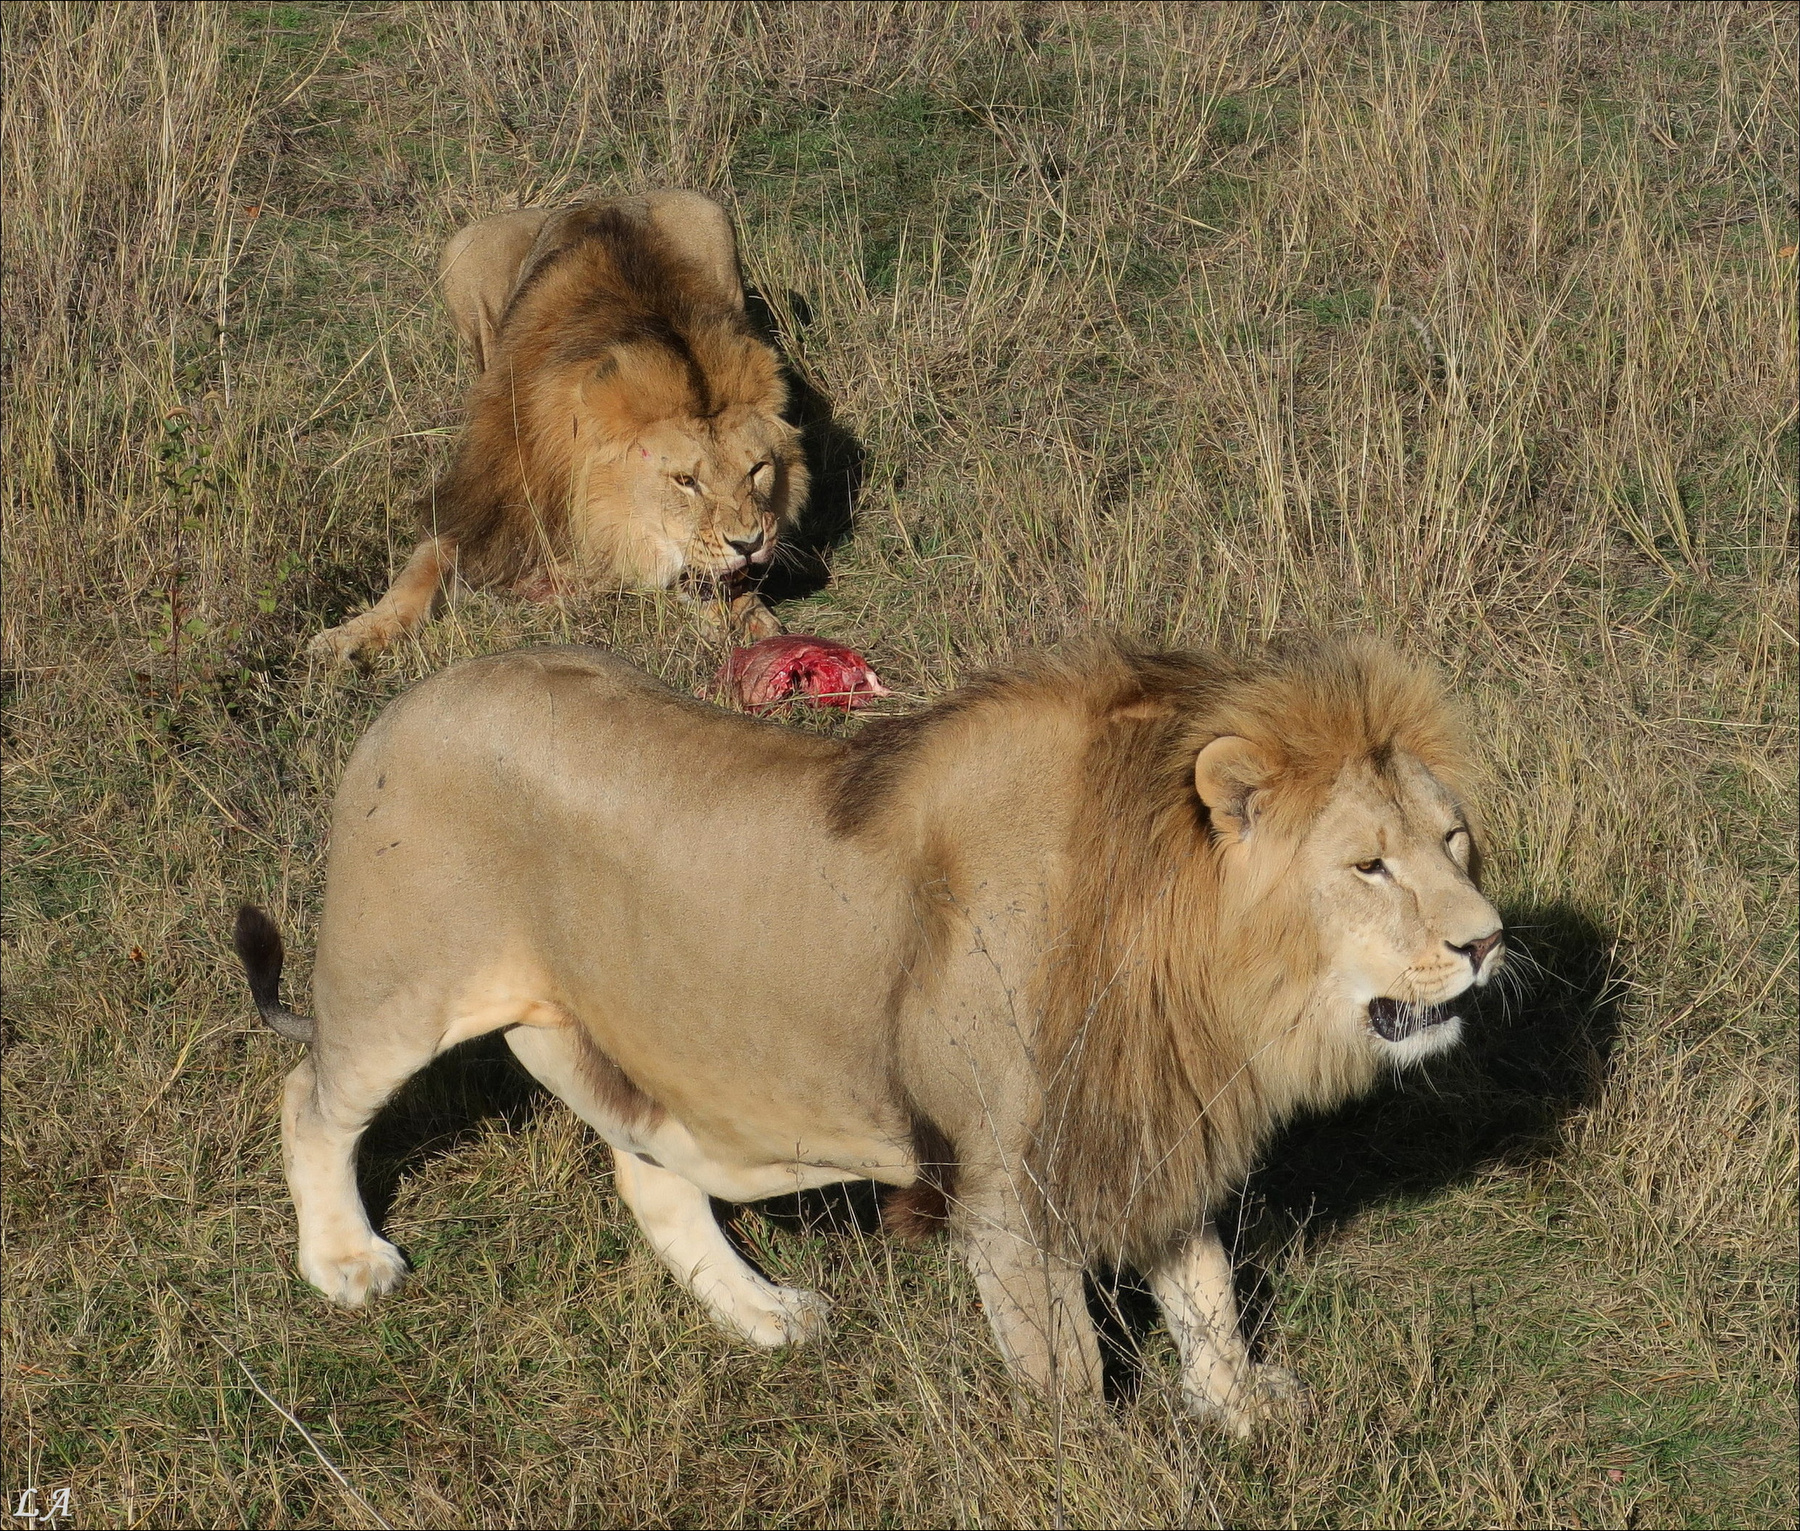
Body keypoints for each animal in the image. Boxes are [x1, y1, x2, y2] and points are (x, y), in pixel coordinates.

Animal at [234, 636, 1503, 1433]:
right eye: (1369, 866)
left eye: (1454, 842)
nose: (1490, 942)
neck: (1198, 974)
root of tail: (415, 694)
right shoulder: (1007, 1179)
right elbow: (1066, 1367)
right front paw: (1094, 1466)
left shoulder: (1143, 1117)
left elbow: (1202, 1290)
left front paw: (1236, 1407)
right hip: (400, 985)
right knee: (308, 1099)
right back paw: (345, 1262)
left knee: (649, 1175)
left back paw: (762, 1314)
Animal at [309, 191, 807, 663]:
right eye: (685, 481)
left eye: (758, 469)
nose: (750, 543)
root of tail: (595, 199)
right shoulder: (483, 499)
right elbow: (420, 570)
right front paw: (349, 637)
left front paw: (747, 612)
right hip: (464, 253)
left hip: (711, 216)